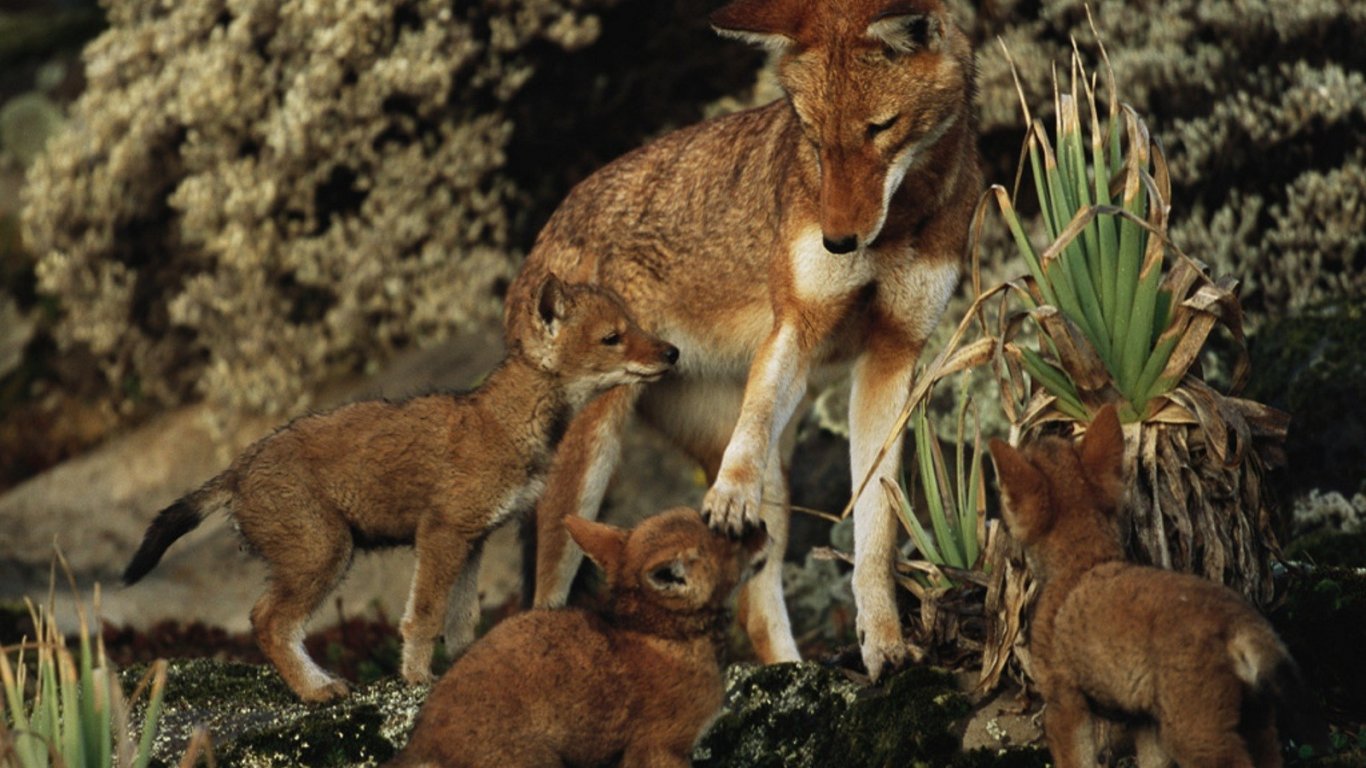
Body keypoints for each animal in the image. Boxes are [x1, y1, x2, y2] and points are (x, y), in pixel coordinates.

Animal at [122, 276, 677, 699]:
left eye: (635, 324)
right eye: (613, 337)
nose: (672, 352)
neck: (507, 423)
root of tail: (238, 467)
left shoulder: (473, 541)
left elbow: (462, 622)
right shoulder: (441, 534)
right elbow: (424, 618)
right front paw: (415, 678)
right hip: (327, 554)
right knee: (268, 622)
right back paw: (317, 691)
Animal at [502, 0, 983, 675]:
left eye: (879, 128)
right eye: (812, 135)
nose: (838, 241)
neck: (902, 220)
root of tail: (539, 245)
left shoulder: (894, 356)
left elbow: (875, 535)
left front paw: (885, 645)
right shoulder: (796, 328)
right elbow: (751, 433)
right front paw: (729, 493)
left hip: (775, 481)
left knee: (754, 608)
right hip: (586, 473)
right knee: (541, 605)